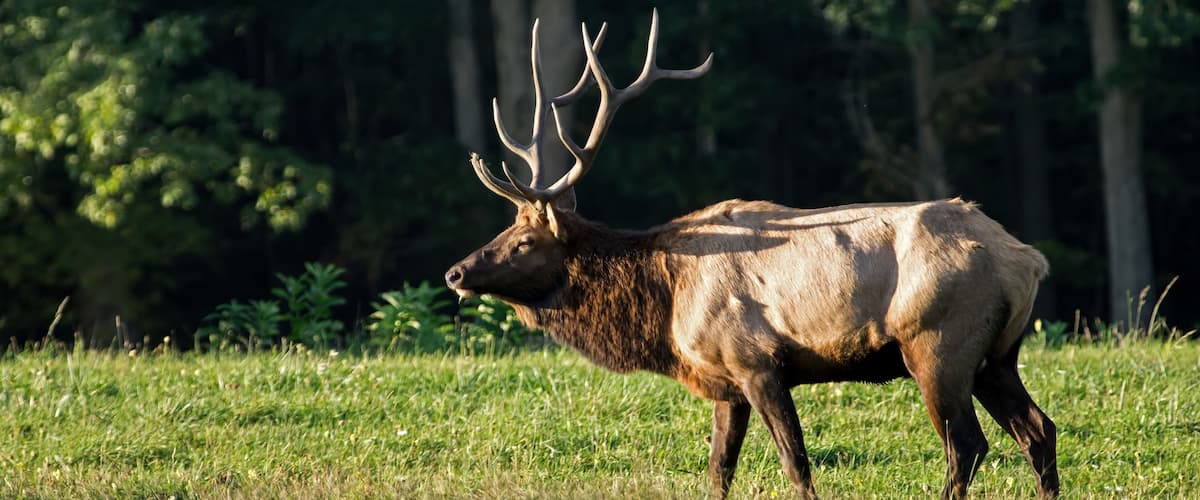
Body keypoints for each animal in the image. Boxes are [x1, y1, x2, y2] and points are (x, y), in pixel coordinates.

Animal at [444, 9, 1059, 499]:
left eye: (524, 241)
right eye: (505, 229)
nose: (456, 272)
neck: (666, 307)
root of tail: (1029, 260)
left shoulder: (757, 362)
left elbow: (796, 464)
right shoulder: (725, 383)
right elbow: (719, 470)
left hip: (937, 342)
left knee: (968, 446)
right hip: (996, 356)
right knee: (1039, 430)